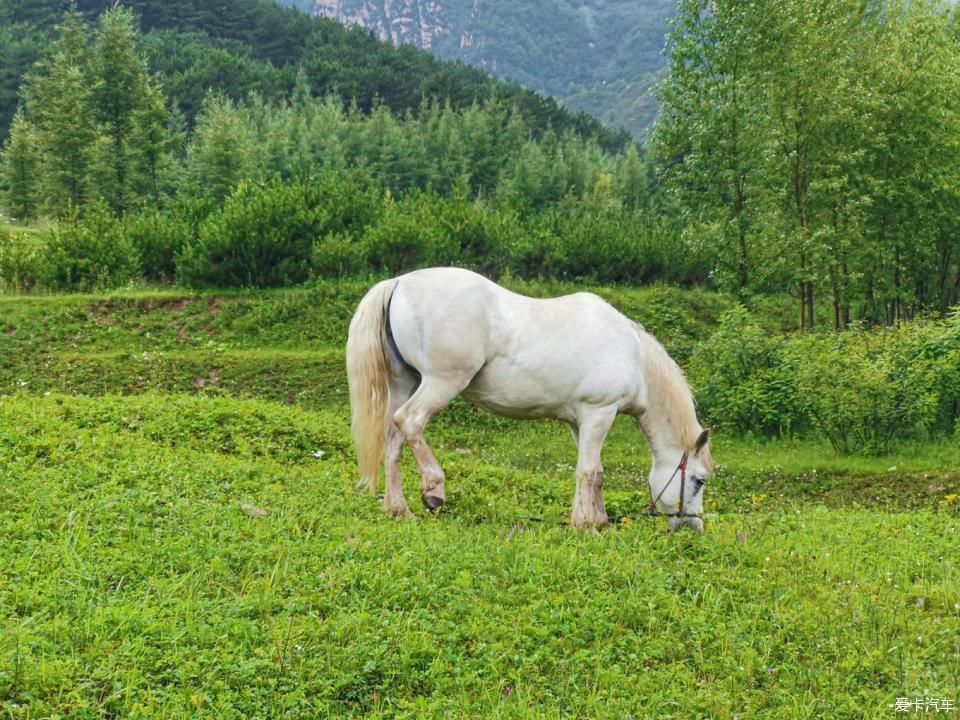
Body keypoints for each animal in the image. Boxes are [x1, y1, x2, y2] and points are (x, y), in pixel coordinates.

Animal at [344, 268, 712, 532]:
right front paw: (586, 526)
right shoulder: (599, 414)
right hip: (439, 383)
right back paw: (434, 490)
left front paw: (597, 521)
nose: (692, 528)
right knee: (410, 422)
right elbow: (588, 472)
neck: (634, 356)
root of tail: (398, 283)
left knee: (393, 438)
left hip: (405, 382)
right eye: (699, 480)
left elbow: (595, 472)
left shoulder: (581, 422)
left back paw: (399, 510)